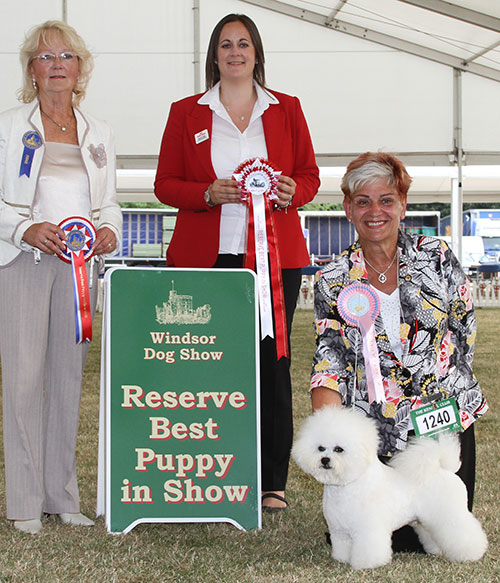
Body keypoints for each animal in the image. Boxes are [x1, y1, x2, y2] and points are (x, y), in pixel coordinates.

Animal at [292, 406, 486, 572]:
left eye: (339, 449)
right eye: (320, 448)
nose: (325, 460)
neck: (349, 486)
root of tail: (444, 469)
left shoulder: (368, 529)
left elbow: (369, 549)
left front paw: (367, 564)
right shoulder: (340, 531)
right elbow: (342, 547)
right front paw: (342, 560)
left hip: (449, 514)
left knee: (464, 531)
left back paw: (473, 552)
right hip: (426, 519)